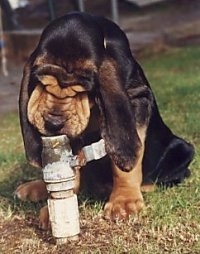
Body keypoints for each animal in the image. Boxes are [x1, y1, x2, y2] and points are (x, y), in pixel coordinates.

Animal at [15, 11, 194, 226]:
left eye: (83, 87)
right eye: (41, 80)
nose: (54, 123)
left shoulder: (138, 99)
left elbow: (125, 163)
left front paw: (125, 202)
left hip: (182, 149)